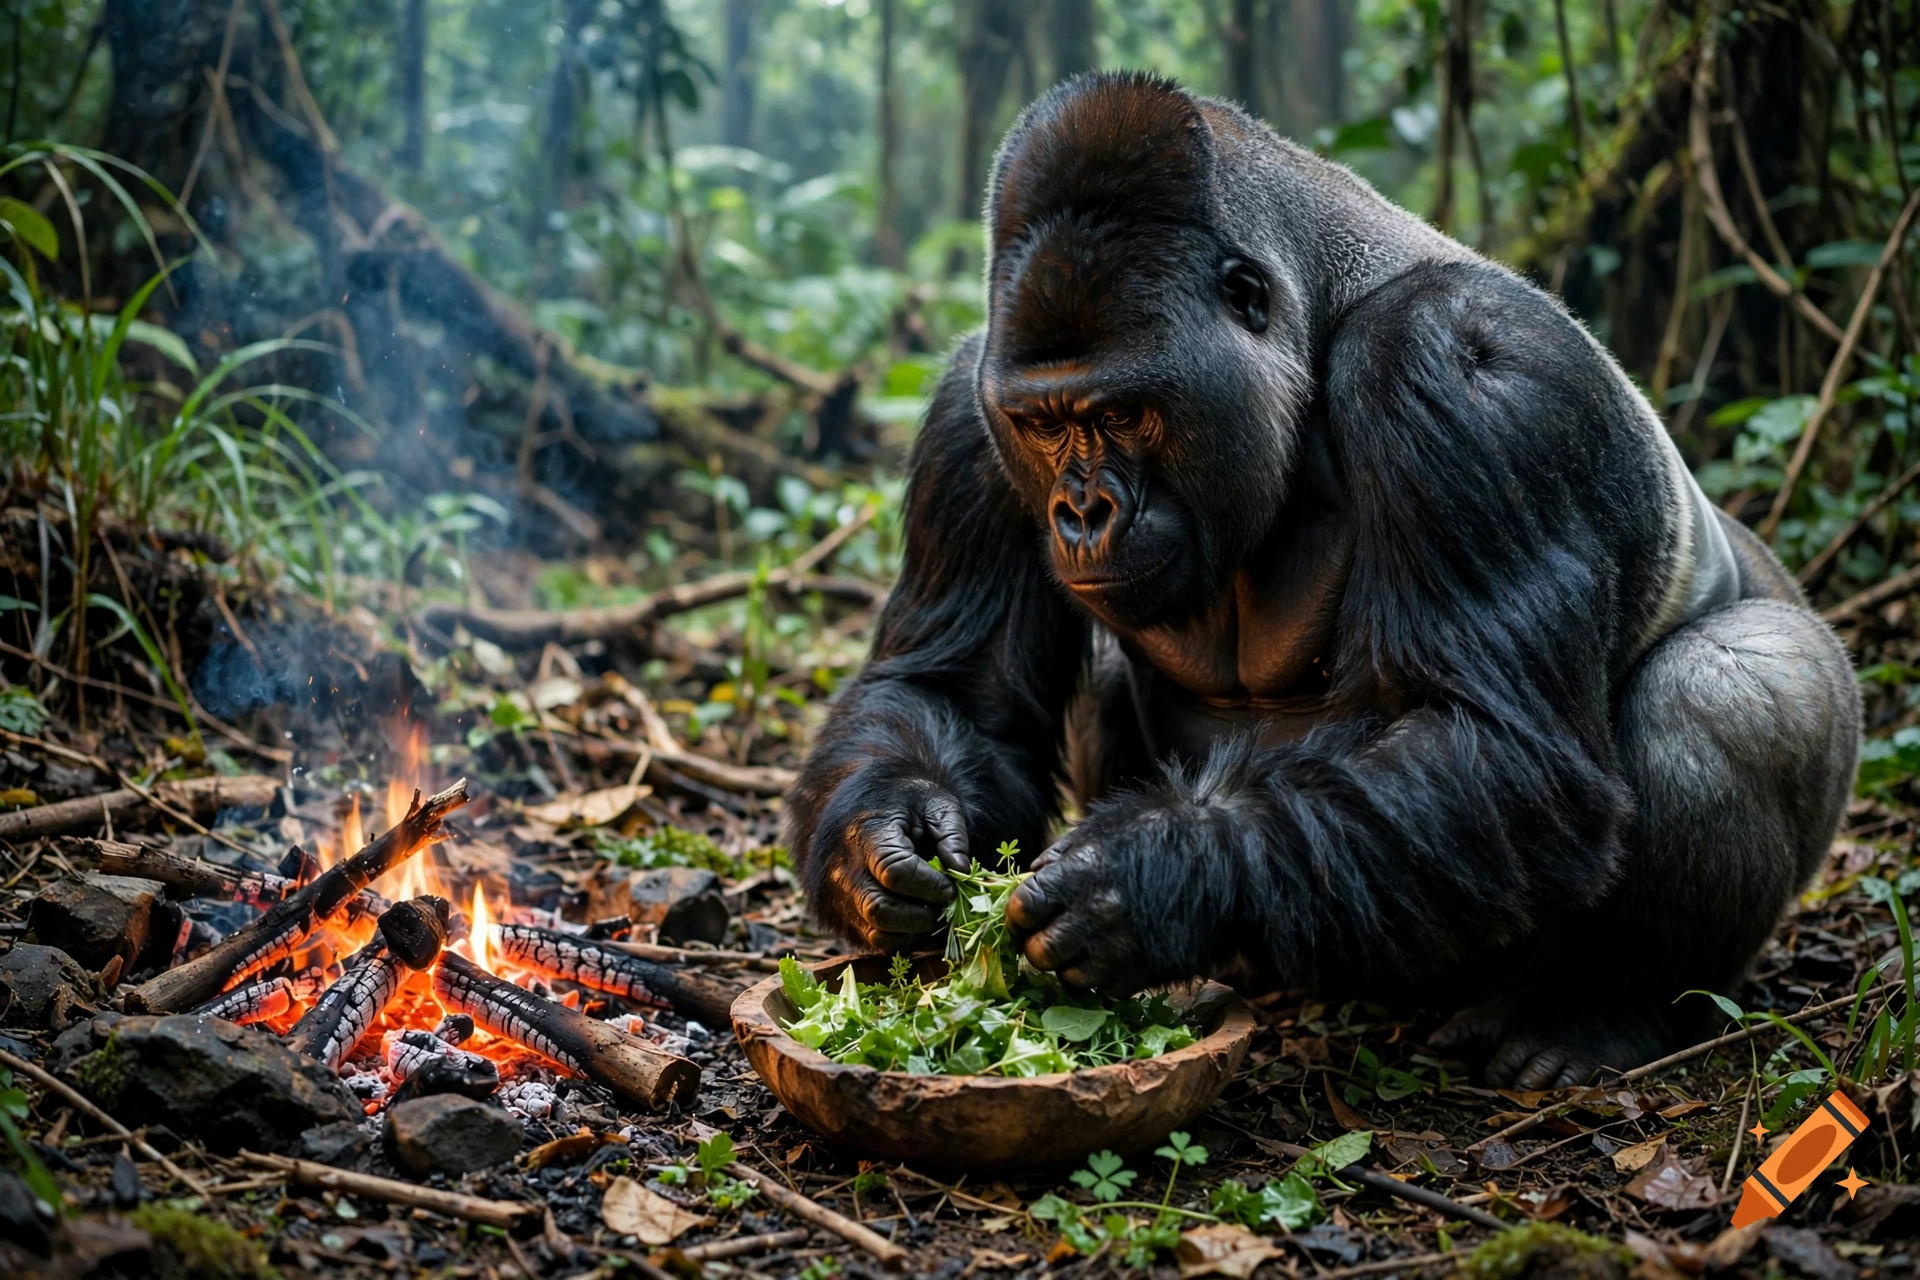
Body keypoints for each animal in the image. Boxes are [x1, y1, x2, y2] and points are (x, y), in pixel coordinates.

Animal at [783, 72, 1861, 1088]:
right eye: (1043, 425)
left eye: (1123, 411)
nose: (1080, 513)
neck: (1318, 307)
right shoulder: (972, 409)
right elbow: (952, 694)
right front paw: (885, 841)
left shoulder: (1459, 367)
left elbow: (1501, 748)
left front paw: (1157, 875)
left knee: (1732, 683)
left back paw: (1604, 1008)